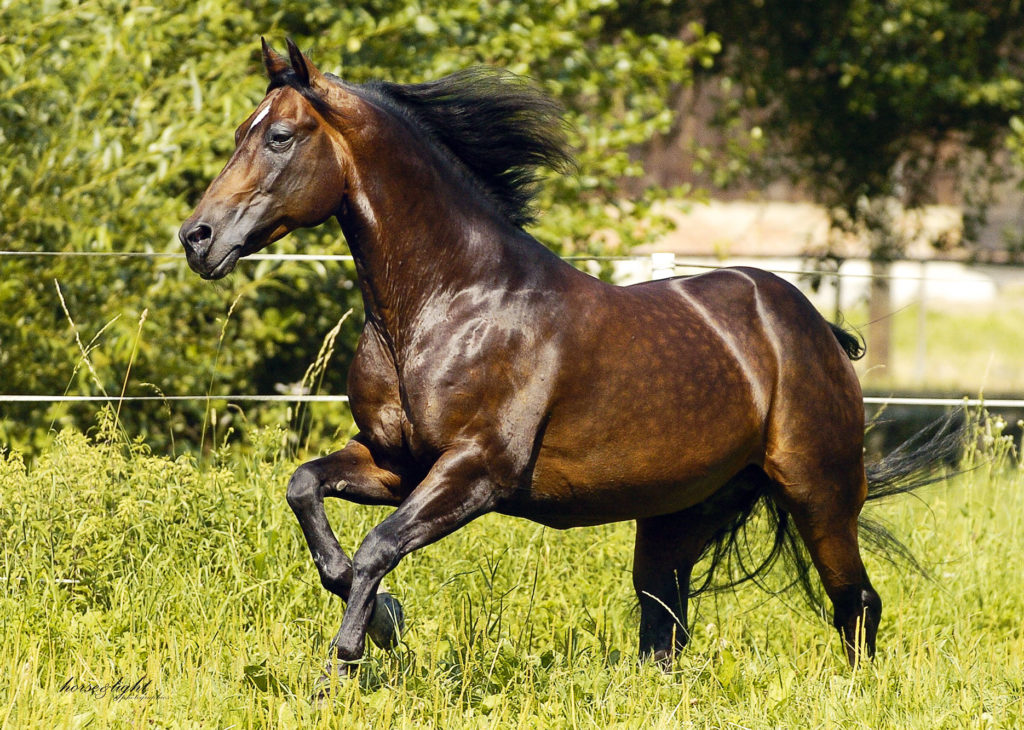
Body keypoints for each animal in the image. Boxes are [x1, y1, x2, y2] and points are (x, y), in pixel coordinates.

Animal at [179, 39, 959, 691]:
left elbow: (377, 548)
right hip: (680, 514)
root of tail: (817, 327)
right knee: (664, 628)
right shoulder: (395, 462)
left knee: (855, 602)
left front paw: (348, 658)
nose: (197, 237)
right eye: (244, 131)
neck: (449, 302)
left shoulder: (478, 471)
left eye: (279, 136)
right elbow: (305, 489)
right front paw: (382, 620)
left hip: (819, 490)